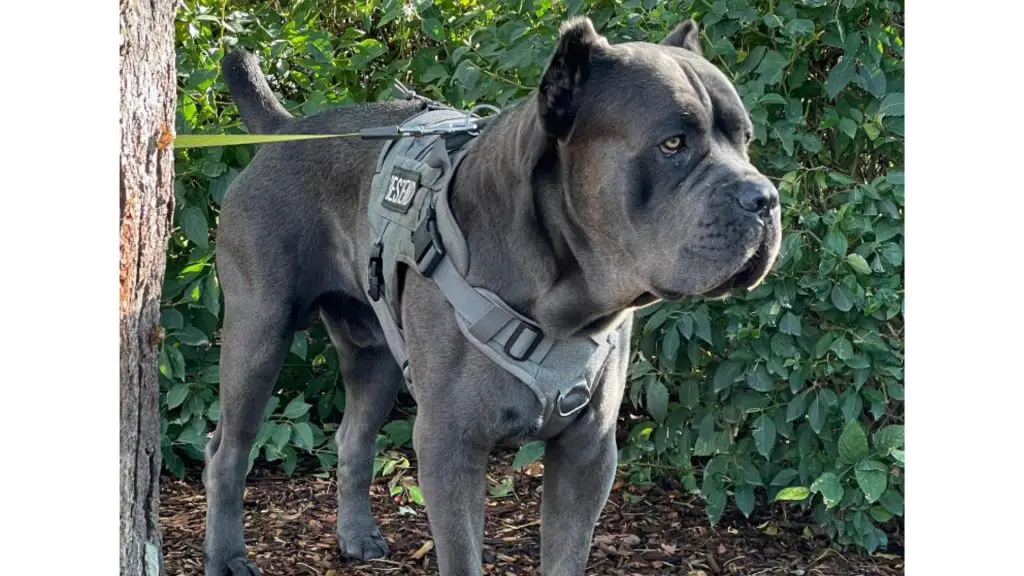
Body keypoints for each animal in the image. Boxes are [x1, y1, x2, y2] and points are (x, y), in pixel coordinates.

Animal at [203, 15, 778, 573]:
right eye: (672, 144)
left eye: (746, 140)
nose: (765, 198)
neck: (565, 301)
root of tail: (286, 129)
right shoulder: (449, 445)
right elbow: (462, 555)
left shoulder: (588, 450)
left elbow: (565, 555)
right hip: (258, 331)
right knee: (227, 449)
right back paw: (227, 557)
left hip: (375, 351)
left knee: (354, 439)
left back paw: (357, 536)